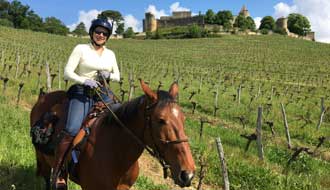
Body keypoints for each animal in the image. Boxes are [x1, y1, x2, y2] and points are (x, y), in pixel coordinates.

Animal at [29, 80, 195, 190]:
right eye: (160, 120)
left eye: (183, 119)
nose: (187, 174)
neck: (117, 153)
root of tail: (43, 97)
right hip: (42, 158)